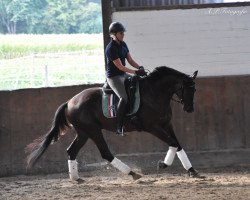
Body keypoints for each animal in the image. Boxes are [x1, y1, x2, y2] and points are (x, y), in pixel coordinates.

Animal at [25, 67, 199, 181]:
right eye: (187, 89)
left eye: (195, 90)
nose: (189, 109)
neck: (154, 93)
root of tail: (69, 102)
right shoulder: (153, 128)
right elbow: (172, 143)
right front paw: (163, 164)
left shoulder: (167, 125)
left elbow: (177, 144)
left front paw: (192, 170)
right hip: (93, 130)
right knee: (105, 153)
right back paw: (132, 174)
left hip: (83, 132)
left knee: (71, 151)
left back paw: (76, 178)